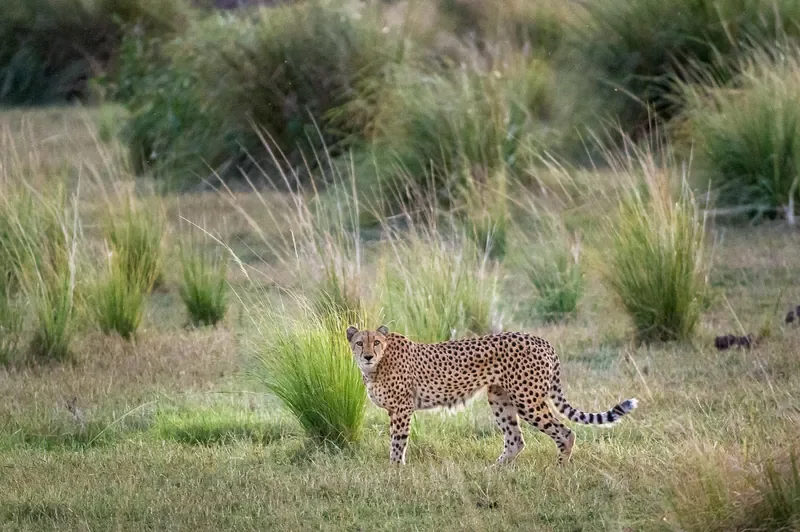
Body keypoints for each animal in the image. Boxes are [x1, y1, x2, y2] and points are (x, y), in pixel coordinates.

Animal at [346, 325, 638, 465]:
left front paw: (395, 470)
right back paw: (493, 472)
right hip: (500, 398)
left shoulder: (402, 409)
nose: (368, 355)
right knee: (516, 440)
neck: (376, 366)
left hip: (527, 399)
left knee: (564, 432)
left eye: (376, 342)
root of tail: (541, 340)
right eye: (359, 342)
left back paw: (559, 470)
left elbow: (397, 442)